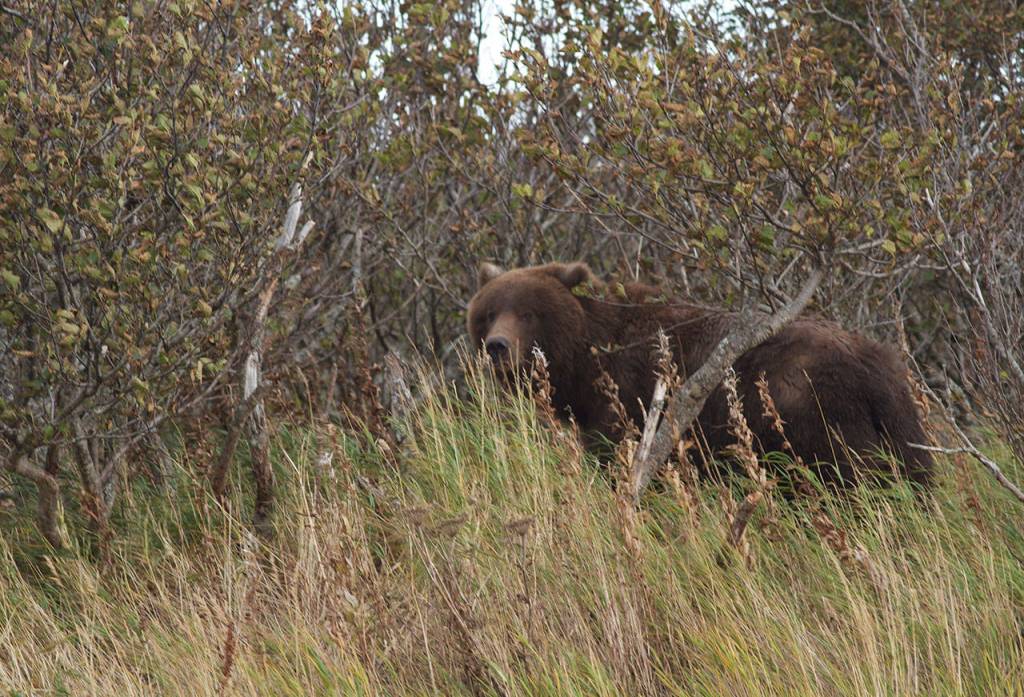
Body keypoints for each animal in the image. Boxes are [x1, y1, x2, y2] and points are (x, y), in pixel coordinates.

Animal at [467, 261, 934, 488]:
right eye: (488, 312)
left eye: (528, 312)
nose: (498, 347)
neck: (586, 363)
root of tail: (875, 365)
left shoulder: (631, 398)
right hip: (899, 426)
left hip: (813, 415)